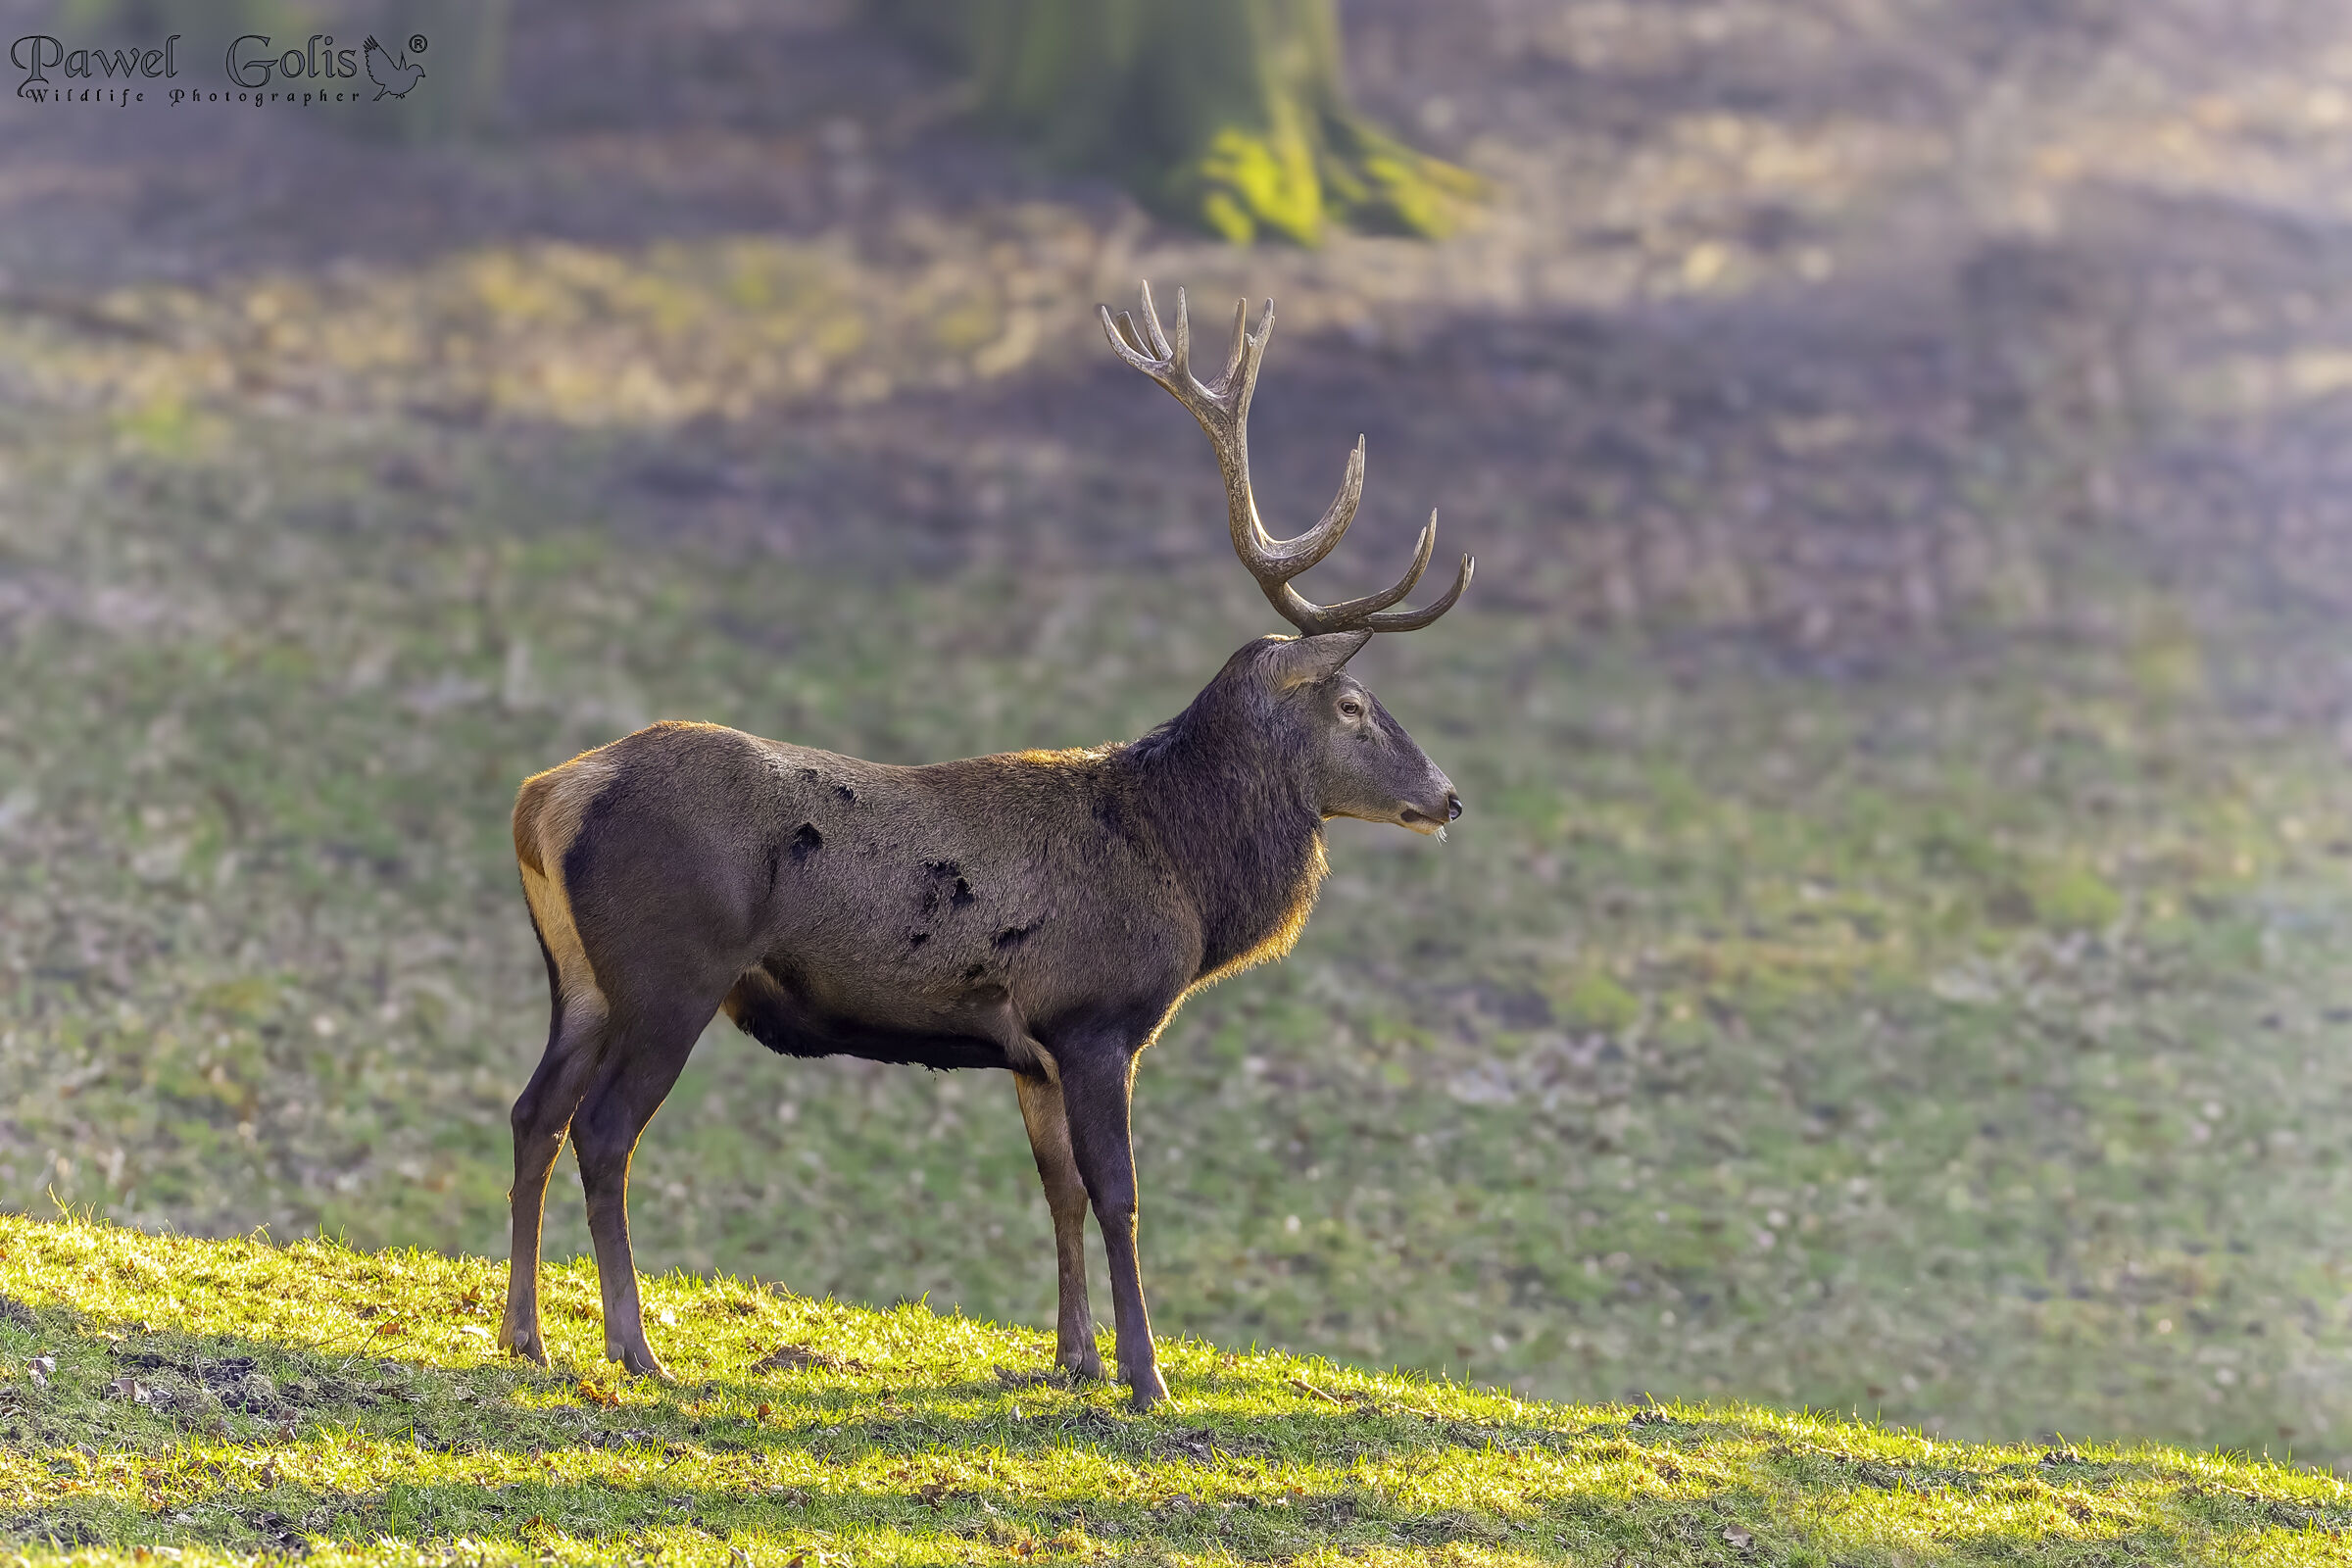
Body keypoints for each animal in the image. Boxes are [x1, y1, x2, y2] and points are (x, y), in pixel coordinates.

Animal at [497, 282, 1472, 1408]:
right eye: (1353, 705)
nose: (1449, 798)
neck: (1183, 871)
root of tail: (547, 798)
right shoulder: (1096, 1020)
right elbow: (1119, 1195)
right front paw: (1147, 1375)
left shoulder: (1033, 1049)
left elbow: (1058, 1192)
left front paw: (1075, 1356)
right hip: (672, 973)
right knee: (603, 1129)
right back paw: (633, 1344)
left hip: (581, 979)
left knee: (532, 1112)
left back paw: (525, 1334)